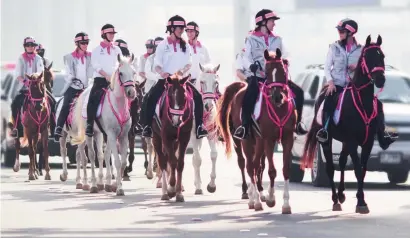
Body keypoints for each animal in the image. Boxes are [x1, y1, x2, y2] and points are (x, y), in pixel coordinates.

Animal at [71, 54, 136, 196]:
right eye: (121, 73)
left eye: (134, 72)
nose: (131, 93)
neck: (118, 106)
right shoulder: (111, 135)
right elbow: (116, 162)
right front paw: (119, 189)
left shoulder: (123, 136)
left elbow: (122, 162)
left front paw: (115, 185)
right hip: (89, 133)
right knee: (89, 156)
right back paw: (91, 185)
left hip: (99, 133)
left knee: (100, 155)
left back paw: (101, 183)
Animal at [152, 74, 194, 202]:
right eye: (170, 96)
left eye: (184, 95)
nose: (176, 121)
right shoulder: (166, 137)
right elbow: (172, 161)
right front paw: (171, 189)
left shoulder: (184, 138)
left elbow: (179, 163)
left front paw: (178, 192)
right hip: (156, 138)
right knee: (163, 161)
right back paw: (165, 192)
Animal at [216, 48, 296, 213]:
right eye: (267, 71)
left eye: (282, 70)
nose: (277, 97)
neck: (279, 109)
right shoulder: (268, 139)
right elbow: (271, 170)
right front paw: (271, 199)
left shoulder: (287, 138)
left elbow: (285, 169)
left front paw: (286, 204)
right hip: (245, 140)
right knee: (249, 166)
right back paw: (255, 200)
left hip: (257, 142)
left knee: (256, 165)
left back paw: (257, 196)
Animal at [302, 34, 388, 214]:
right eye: (367, 57)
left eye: (382, 56)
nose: (380, 79)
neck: (363, 103)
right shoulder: (353, 141)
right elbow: (357, 170)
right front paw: (361, 202)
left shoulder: (367, 143)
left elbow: (362, 170)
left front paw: (360, 199)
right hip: (328, 141)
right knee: (330, 168)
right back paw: (335, 199)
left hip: (344, 141)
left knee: (341, 162)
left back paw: (341, 195)